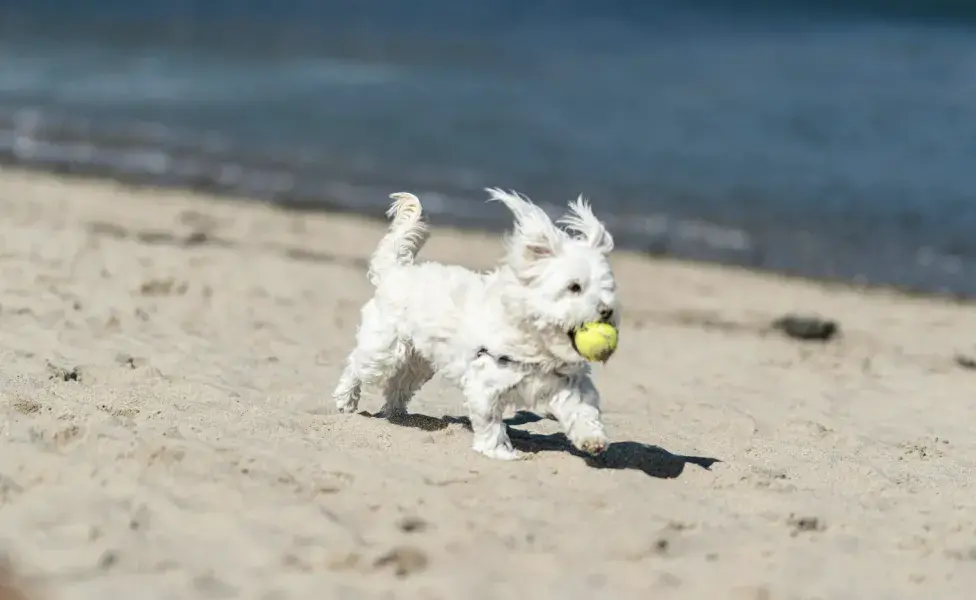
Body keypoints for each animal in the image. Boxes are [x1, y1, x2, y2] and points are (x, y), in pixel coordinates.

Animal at [332, 188, 620, 460]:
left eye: (608, 289)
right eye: (575, 287)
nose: (607, 311)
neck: (535, 342)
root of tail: (397, 271)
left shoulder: (567, 383)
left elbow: (583, 410)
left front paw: (592, 439)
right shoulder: (485, 383)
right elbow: (490, 423)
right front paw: (498, 452)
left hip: (419, 362)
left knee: (399, 384)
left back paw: (398, 413)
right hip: (385, 351)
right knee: (357, 366)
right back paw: (346, 400)